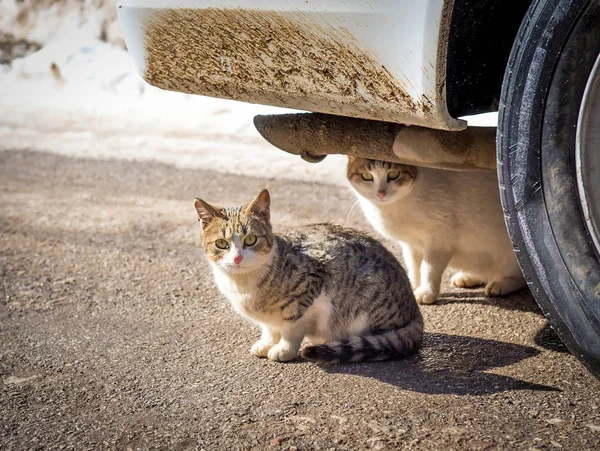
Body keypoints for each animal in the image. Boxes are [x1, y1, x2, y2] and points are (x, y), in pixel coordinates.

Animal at [193, 188, 422, 364]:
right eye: (221, 244)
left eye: (250, 239)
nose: (237, 258)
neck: (244, 284)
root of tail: (415, 310)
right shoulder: (267, 317)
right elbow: (269, 328)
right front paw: (267, 343)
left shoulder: (309, 291)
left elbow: (291, 328)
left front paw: (284, 349)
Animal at [346, 157, 524, 306]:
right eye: (367, 176)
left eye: (393, 174)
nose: (381, 193)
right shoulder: (411, 245)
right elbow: (413, 266)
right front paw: (413, 286)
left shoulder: (439, 241)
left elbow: (428, 269)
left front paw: (427, 292)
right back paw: (468, 277)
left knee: (519, 275)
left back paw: (501, 284)